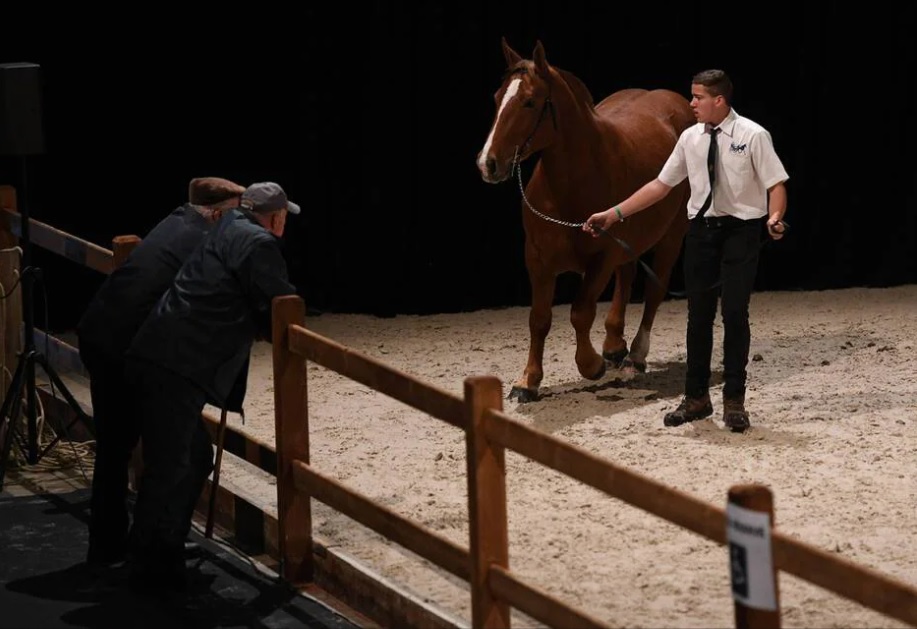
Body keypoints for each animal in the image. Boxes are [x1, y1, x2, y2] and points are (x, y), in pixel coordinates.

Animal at [476, 40, 692, 402]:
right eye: (496, 97)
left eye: (529, 101)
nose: (487, 163)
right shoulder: (537, 260)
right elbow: (539, 318)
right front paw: (527, 381)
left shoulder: (601, 259)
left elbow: (581, 312)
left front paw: (591, 365)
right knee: (627, 276)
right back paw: (615, 345)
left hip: (672, 237)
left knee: (653, 291)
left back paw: (635, 355)